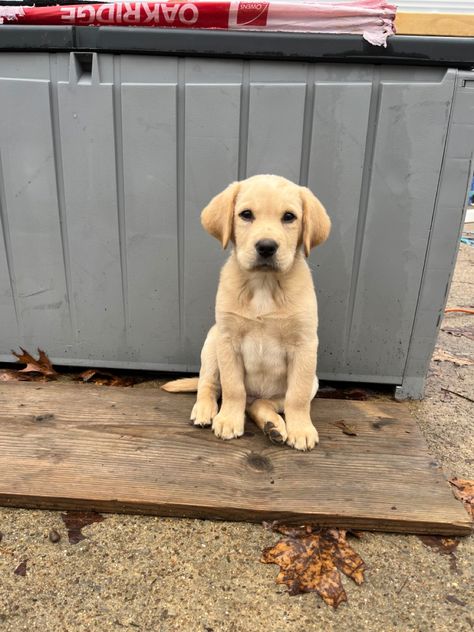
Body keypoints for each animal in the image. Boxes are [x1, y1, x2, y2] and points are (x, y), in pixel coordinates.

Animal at [162, 173, 330, 450]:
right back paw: (205, 410)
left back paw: (273, 426)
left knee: (259, 404)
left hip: (309, 384)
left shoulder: (305, 345)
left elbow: (297, 396)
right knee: (209, 385)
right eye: (246, 214)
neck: (264, 283)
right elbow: (233, 388)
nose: (266, 247)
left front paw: (301, 429)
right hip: (212, 343)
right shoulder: (228, 340)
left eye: (289, 217)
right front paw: (229, 419)